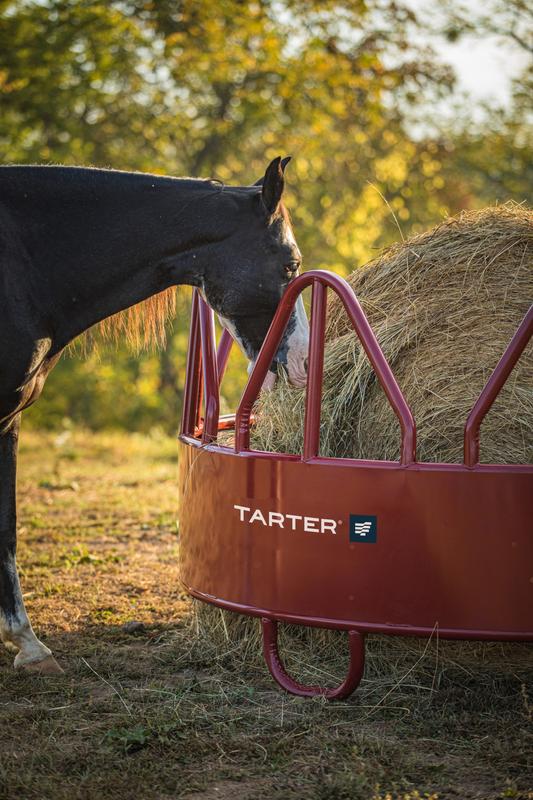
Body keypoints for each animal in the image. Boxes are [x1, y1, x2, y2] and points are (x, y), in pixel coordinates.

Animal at [0, 156, 309, 674]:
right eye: (290, 265)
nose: (307, 362)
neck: (26, 263)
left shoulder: (8, 421)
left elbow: (6, 529)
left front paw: (28, 644)